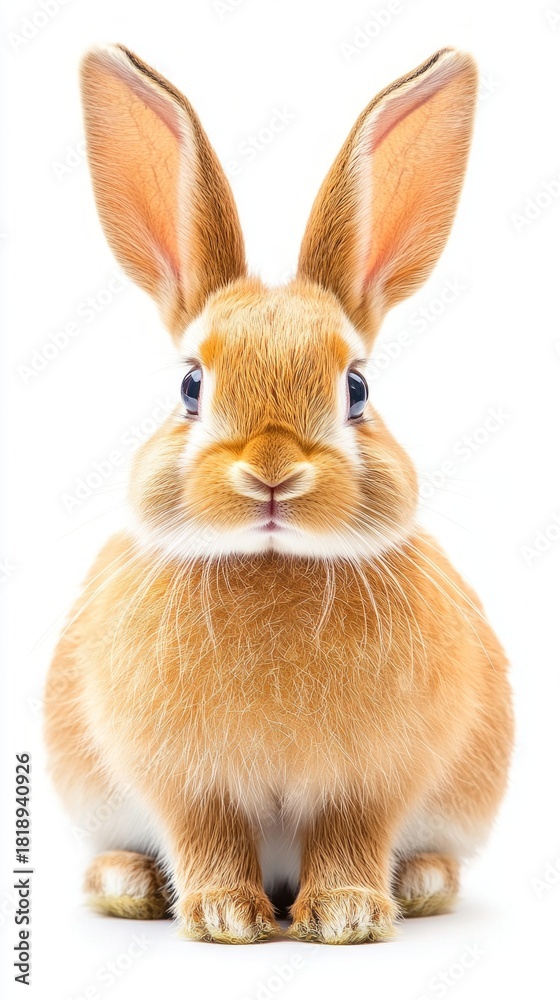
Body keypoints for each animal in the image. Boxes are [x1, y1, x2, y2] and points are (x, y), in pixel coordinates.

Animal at [44, 44, 513, 945]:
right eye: (191, 387)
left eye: (357, 388)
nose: (271, 470)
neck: (272, 563)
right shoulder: (186, 785)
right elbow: (206, 837)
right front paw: (226, 917)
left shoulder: (371, 783)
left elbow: (352, 835)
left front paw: (349, 916)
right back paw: (127, 884)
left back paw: (423, 883)